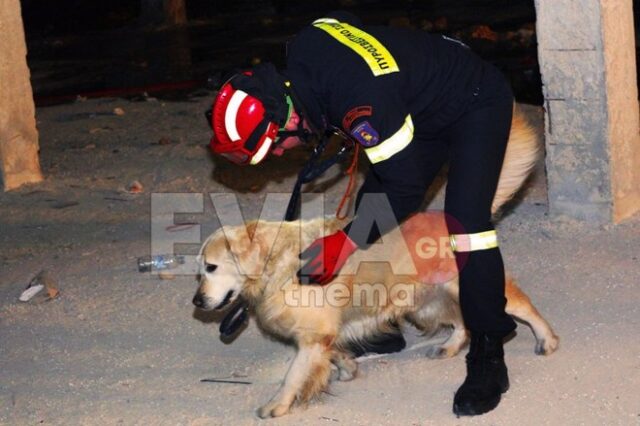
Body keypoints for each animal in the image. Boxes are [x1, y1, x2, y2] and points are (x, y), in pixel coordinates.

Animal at [192, 105, 556, 418]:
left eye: (211, 267)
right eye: (199, 270)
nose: (197, 301)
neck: (278, 263)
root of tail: (450, 219)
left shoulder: (312, 336)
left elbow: (294, 375)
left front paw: (276, 405)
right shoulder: (325, 333)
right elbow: (335, 352)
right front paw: (348, 367)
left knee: (520, 307)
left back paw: (547, 340)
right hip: (424, 301)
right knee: (462, 321)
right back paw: (450, 346)